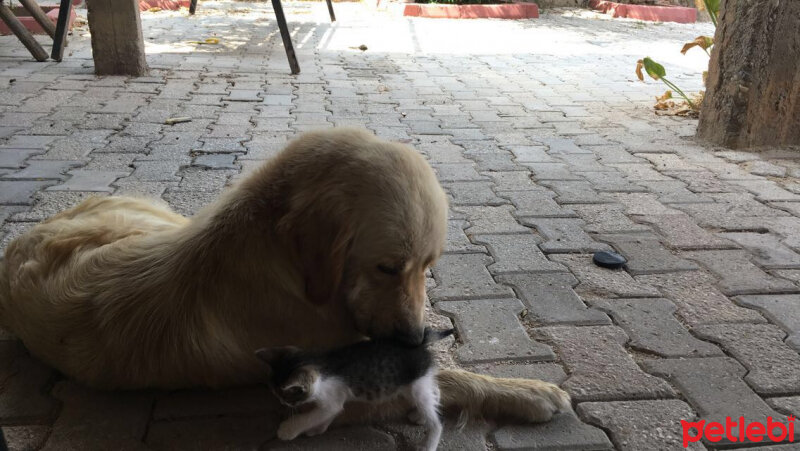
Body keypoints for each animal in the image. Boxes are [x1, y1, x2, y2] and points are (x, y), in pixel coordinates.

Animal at [258, 328, 454, 451]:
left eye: (285, 396)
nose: (281, 402)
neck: (321, 365)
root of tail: (421, 344)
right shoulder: (335, 400)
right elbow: (327, 414)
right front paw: (318, 429)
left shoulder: (331, 399)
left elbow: (311, 416)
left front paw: (287, 430)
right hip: (416, 382)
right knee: (434, 391)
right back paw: (420, 415)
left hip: (416, 386)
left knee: (438, 420)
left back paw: (428, 443)